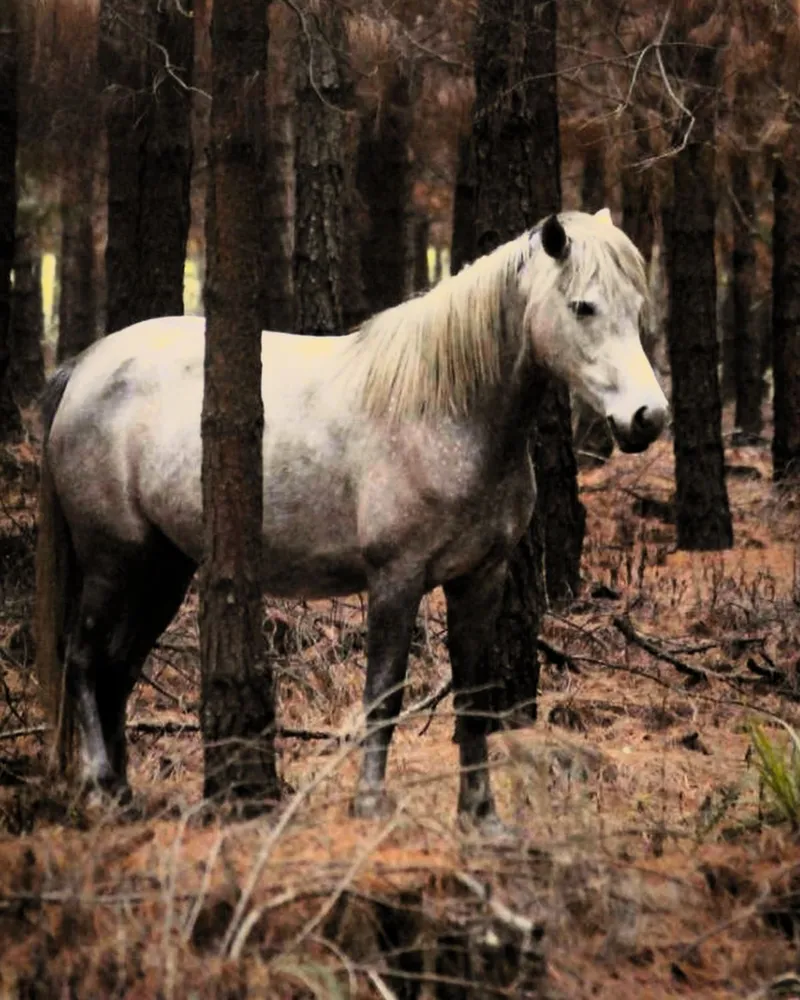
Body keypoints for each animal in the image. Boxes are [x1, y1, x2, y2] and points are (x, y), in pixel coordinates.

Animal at [35, 209, 668, 833]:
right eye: (583, 306)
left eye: (637, 307)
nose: (648, 417)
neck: (447, 409)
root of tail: (85, 368)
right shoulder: (396, 579)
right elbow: (383, 695)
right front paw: (369, 804)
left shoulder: (480, 579)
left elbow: (473, 697)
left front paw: (481, 816)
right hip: (113, 561)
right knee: (84, 658)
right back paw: (100, 785)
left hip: (163, 568)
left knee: (117, 667)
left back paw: (123, 794)